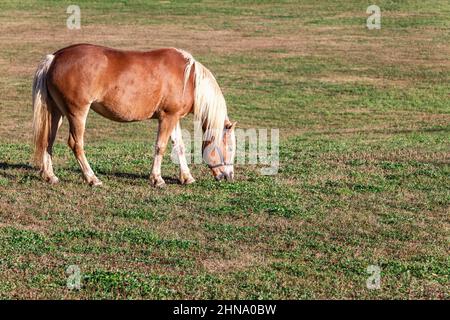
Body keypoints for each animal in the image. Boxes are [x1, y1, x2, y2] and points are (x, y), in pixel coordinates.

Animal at [31, 43, 236, 186]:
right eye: (231, 147)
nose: (228, 176)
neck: (188, 79)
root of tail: (54, 58)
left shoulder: (174, 117)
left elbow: (179, 146)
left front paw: (186, 177)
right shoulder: (167, 117)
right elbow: (160, 146)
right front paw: (157, 179)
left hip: (56, 113)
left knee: (48, 141)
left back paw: (50, 176)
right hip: (77, 112)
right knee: (76, 144)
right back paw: (92, 178)